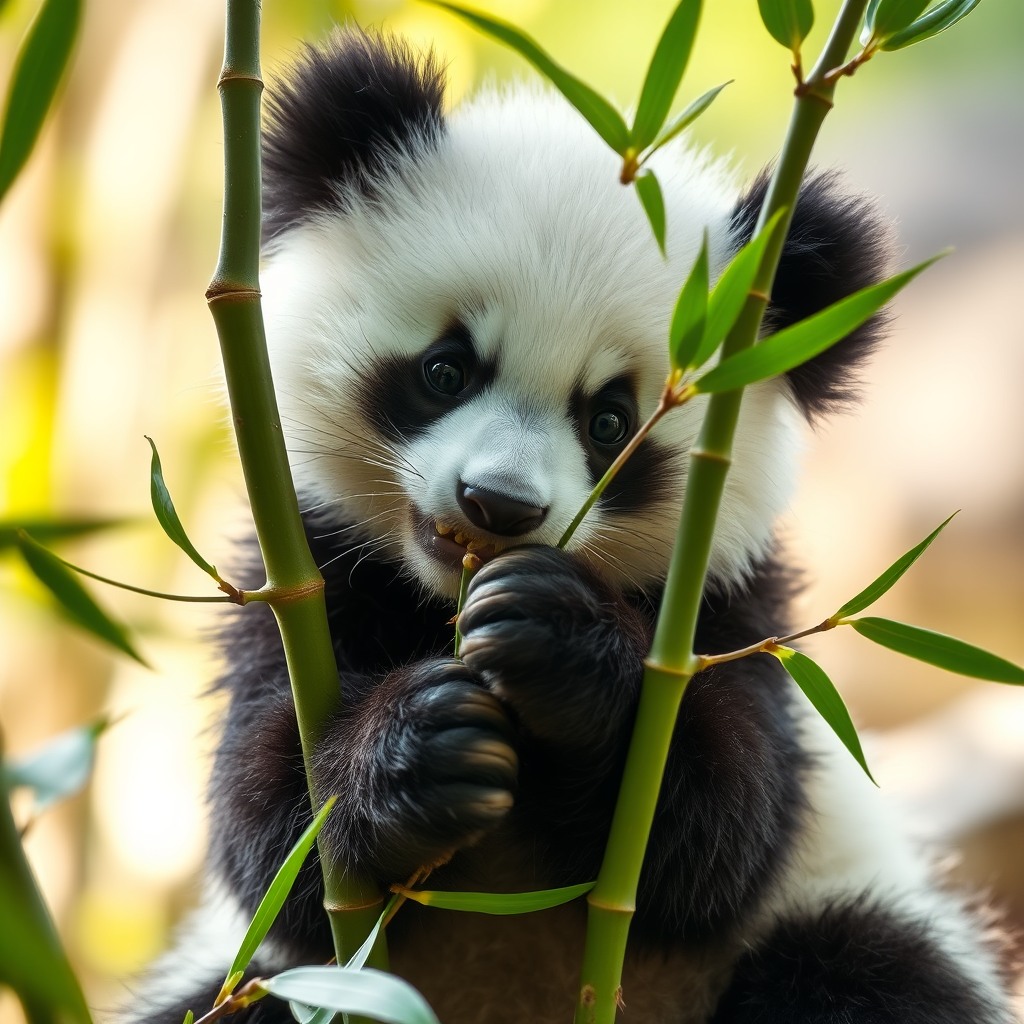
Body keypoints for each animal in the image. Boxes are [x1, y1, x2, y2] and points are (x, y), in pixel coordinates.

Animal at [137, 29, 1014, 1024]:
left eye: (609, 422)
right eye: (446, 369)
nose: (498, 505)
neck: (440, 602)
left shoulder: (732, 610)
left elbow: (717, 831)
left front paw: (555, 637)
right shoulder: (302, 579)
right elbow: (273, 844)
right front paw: (418, 744)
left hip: (829, 917)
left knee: (871, 973)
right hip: (269, 985)